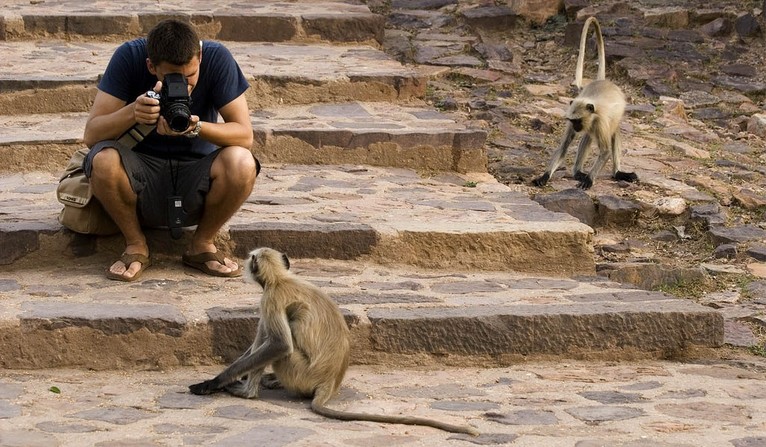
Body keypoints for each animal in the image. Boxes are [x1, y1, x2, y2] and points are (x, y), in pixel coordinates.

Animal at [189, 245, 480, 438]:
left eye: (253, 258)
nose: (246, 261)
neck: (281, 279)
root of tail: (330, 381)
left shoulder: (270, 298)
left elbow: (279, 344)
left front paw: (213, 382)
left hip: (298, 369)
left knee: (279, 339)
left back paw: (249, 391)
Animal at [532, 16, 640, 189]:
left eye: (578, 121)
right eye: (572, 121)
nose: (576, 127)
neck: (592, 110)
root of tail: (602, 81)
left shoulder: (599, 122)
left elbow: (605, 151)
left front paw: (589, 179)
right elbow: (564, 147)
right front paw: (544, 176)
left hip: (612, 120)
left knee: (613, 132)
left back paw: (617, 173)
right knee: (588, 136)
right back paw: (578, 172)